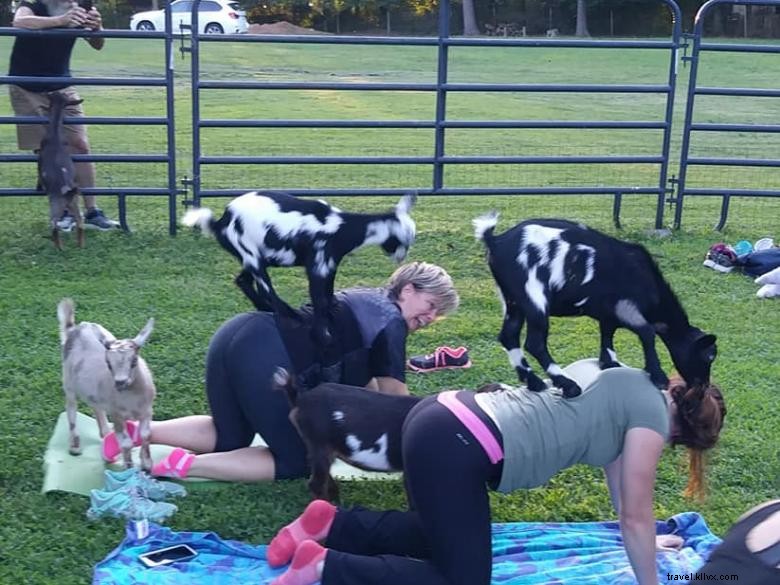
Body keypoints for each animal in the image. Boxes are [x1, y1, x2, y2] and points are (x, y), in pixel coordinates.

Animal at [39, 92, 84, 250]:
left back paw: (59, 247)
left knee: (54, 224)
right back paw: (80, 245)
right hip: (75, 203)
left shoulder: (40, 156)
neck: (55, 135)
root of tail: (67, 193)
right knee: (80, 223)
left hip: (55, 204)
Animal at [57, 298, 156, 470]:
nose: (120, 382)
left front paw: (147, 464)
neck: (132, 399)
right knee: (71, 408)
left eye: (134, 361)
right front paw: (129, 468)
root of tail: (74, 329)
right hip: (68, 381)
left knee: (95, 406)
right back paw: (75, 446)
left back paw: (105, 432)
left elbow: (146, 434)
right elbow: (126, 443)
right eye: (108, 364)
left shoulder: (147, 411)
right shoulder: (117, 414)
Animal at [182, 191, 417, 348]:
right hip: (249, 252)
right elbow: (319, 299)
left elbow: (328, 293)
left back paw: (265, 308)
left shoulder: (329, 264)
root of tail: (221, 221)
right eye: (403, 241)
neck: (341, 227)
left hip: (256, 256)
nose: (401, 258)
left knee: (243, 280)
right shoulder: (318, 264)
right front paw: (323, 336)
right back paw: (290, 315)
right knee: (266, 288)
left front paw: (334, 311)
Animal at [474, 213, 717, 398]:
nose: (703, 385)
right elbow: (647, 333)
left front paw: (609, 363)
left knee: (509, 336)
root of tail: (495, 241)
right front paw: (658, 376)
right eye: (709, 355)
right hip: (533, 295)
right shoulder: (626, 307)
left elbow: (607, 333)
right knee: (535, 343)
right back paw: (567, 385)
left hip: (512, 300)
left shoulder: (609, 312)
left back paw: (534, 382)